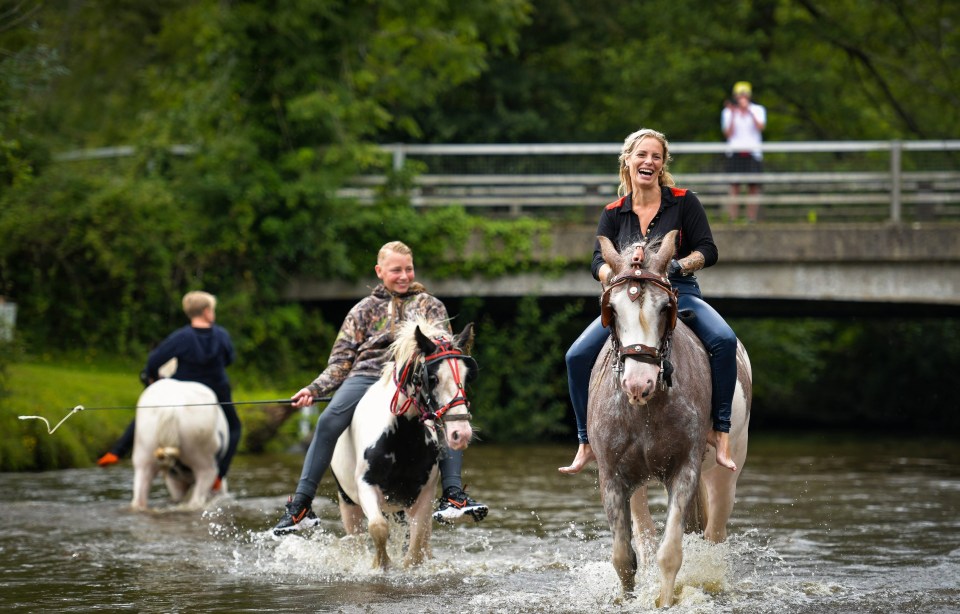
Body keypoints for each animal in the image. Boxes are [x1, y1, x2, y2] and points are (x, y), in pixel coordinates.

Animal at [130, 382, 230, 512]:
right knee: (196, 501)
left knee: (138, 499)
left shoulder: (173, 479)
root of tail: (170, 406)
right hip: (205, 461)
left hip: (143, 454)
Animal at [332, 320, 478, 572]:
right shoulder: (365, 487)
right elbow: (378, 528)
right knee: (357, 538)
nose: (461, 433)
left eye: (467, 377)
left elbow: (416, 546)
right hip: (349, 504)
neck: (402, 440)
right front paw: (381, 565)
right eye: (433, 378)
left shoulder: (423, 497)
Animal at [588, 230, 752, 608]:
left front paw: (664, 601)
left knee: (715, 534)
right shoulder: (613, 477)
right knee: (646, 536)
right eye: (612, 309)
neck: (646, 409)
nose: (639, 383)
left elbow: (671, 554)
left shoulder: (684, 470)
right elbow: (624, 557)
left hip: (725, 472)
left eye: (665, 308)